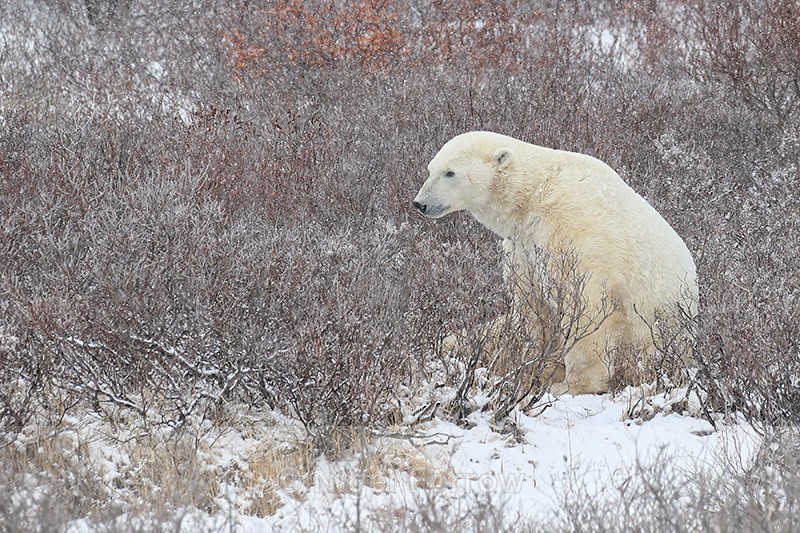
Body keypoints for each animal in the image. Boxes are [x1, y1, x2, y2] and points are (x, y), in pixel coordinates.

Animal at [413, 131, 698, 395]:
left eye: (450, 172)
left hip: (652, 334)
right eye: (430, 169)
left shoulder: (573, 227)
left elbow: (585, 301)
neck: (535, 193)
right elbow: (532, 304)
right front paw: (533, 363)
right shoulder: (523, 244)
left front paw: (571, 385)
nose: (420, 203)